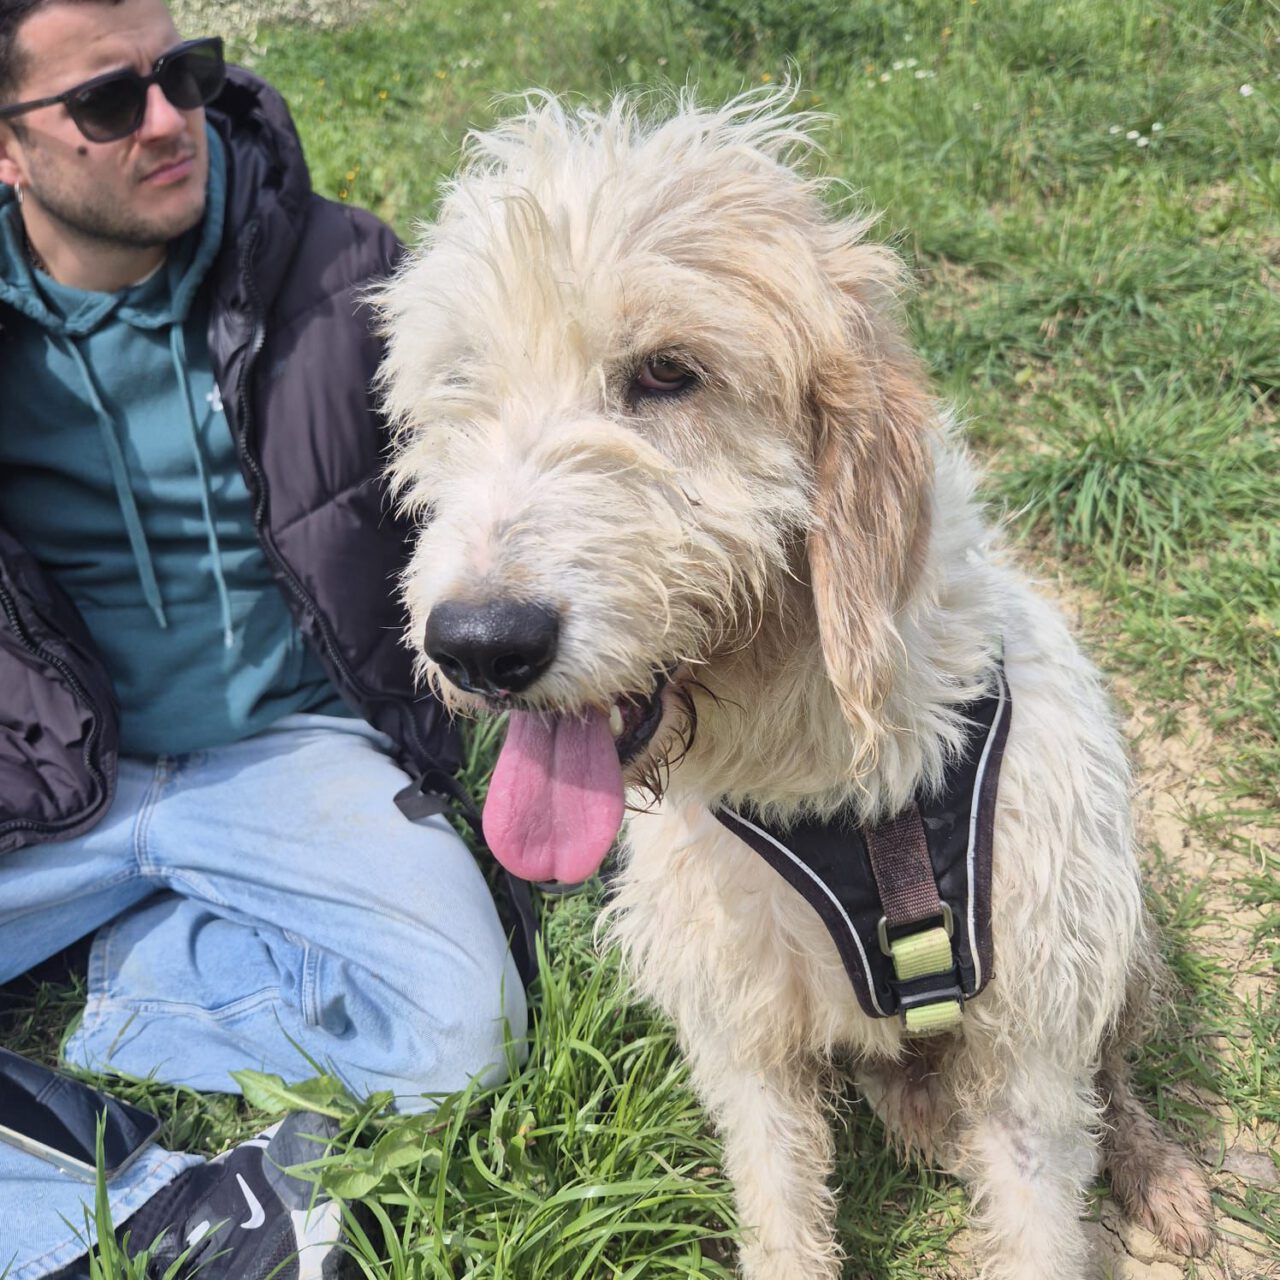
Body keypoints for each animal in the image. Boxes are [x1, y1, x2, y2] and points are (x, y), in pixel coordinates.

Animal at [373, 89, 1214, 1280]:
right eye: (461, 387)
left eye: (667, 371)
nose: (480, 644)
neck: (832, 770)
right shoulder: (745, 1037)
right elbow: (778, 1200)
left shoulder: (1029, 1041)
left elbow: (1045, 1196)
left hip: (1117, 937)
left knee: (1117, 1071)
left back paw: (1154, 1166)